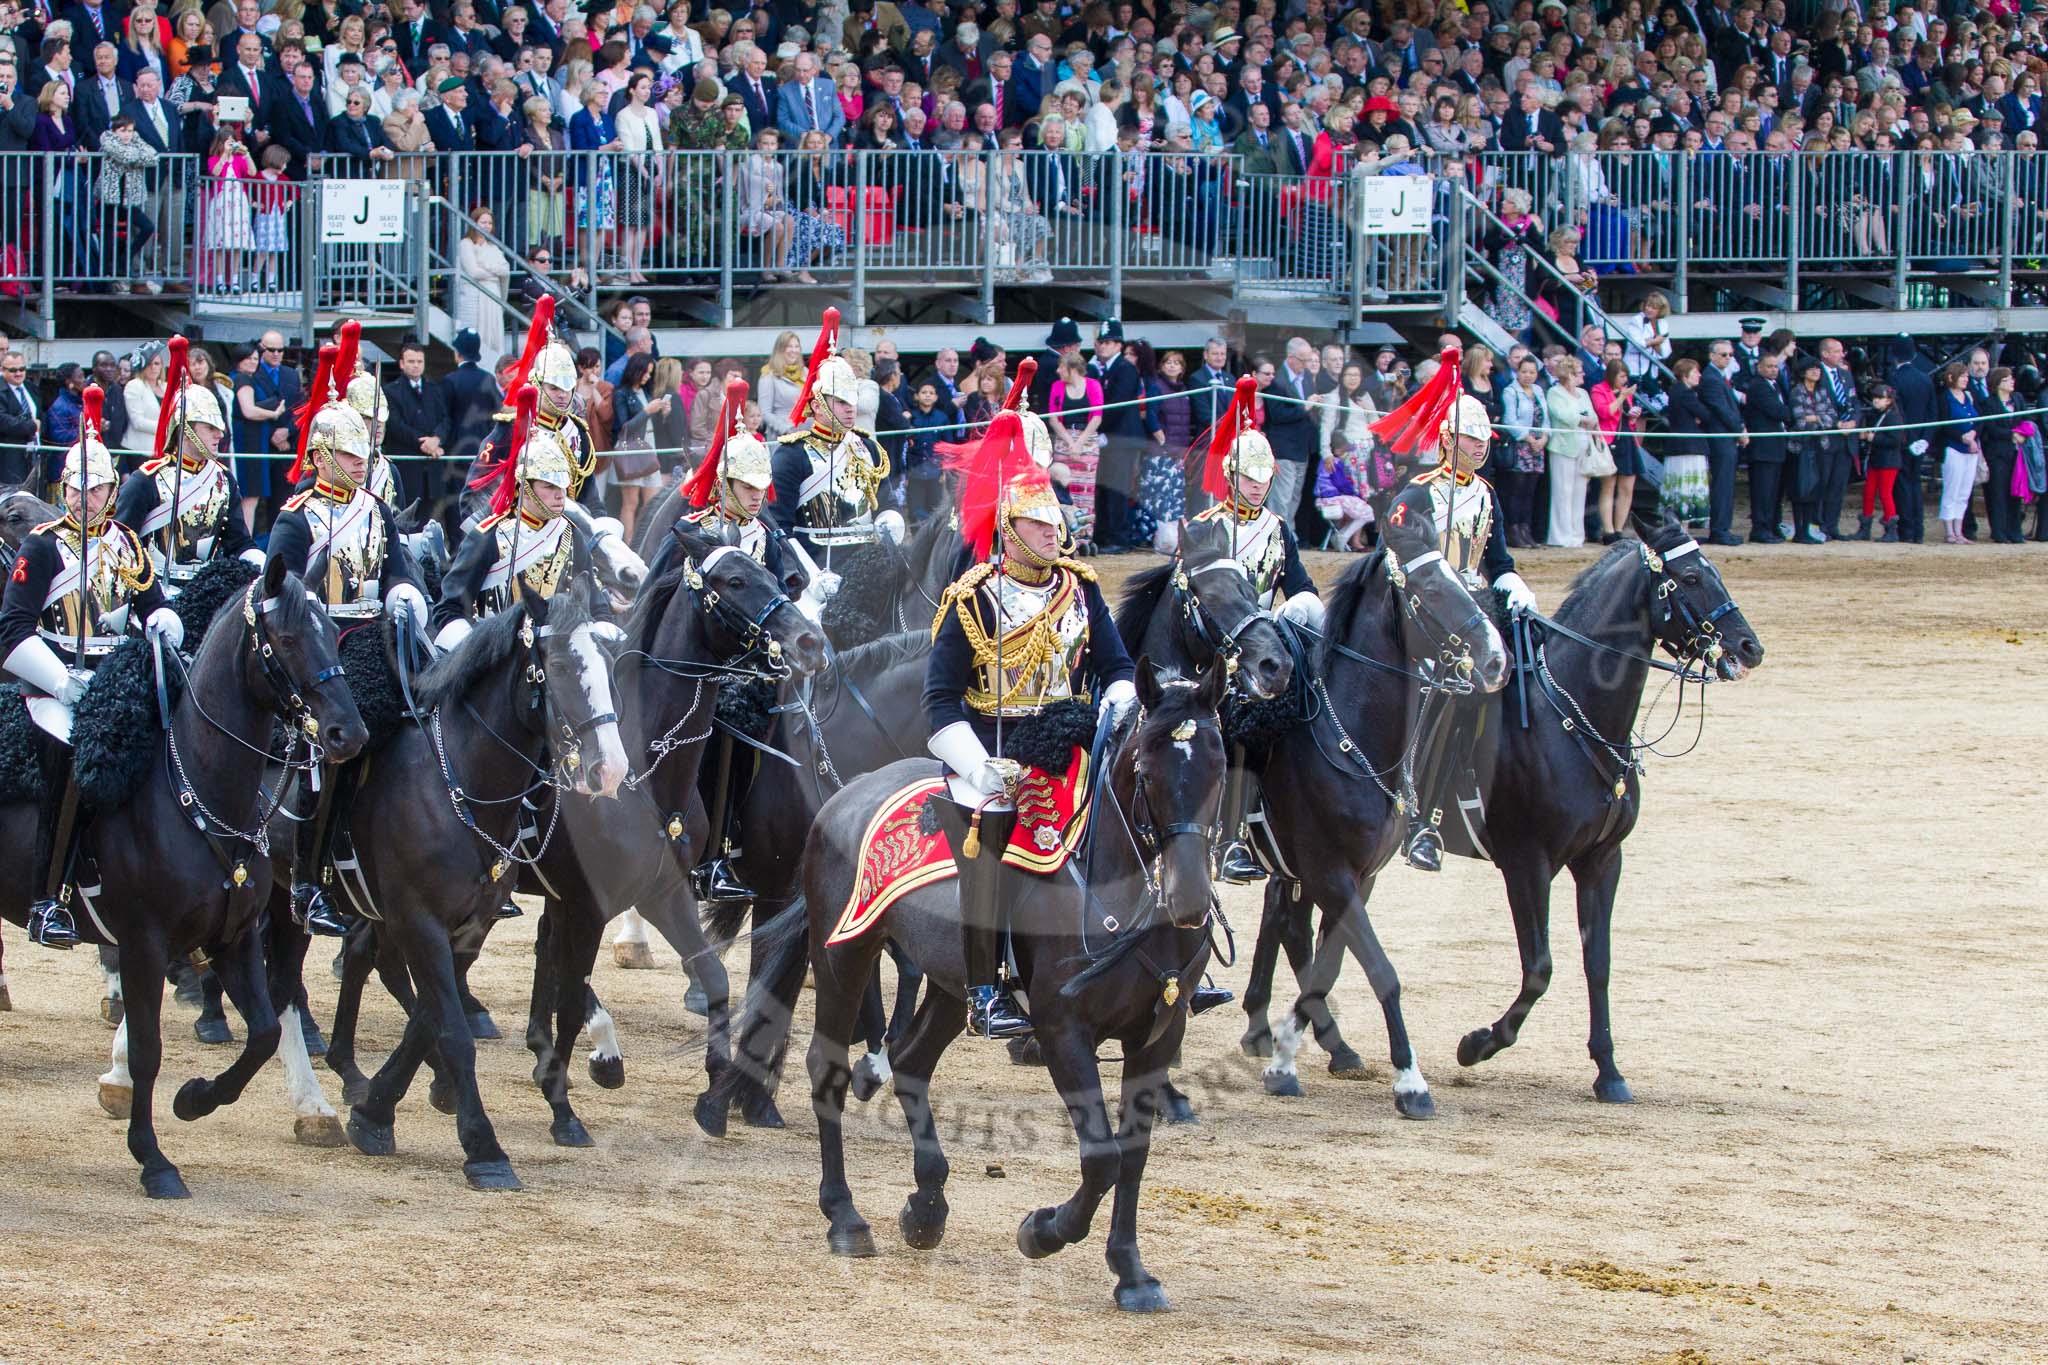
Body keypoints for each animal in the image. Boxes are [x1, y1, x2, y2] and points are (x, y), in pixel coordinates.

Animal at [0, 556, 364, 1195]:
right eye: (288, 639)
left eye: (330, 630)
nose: (350, 733)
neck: (194, 789)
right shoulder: (144, 942)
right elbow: (150, 1049)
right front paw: (152, 1158)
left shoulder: (233, 936)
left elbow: (264, 1031)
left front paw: (196, 1099)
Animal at [716, 663, 1228, 1309]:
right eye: (1146, 773)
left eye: (1220, 768)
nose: (1189, 901)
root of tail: (845, 793)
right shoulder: (1063, 1030)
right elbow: (1102, 1156)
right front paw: (1043, 1231)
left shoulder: (1159, 1033)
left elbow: (1133, 1156)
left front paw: (1131, 1273)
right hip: (844, 956)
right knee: (827, 1069)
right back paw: (846, 1217)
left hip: (948, 983)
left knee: (910, 1061)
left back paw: (925, 1208)